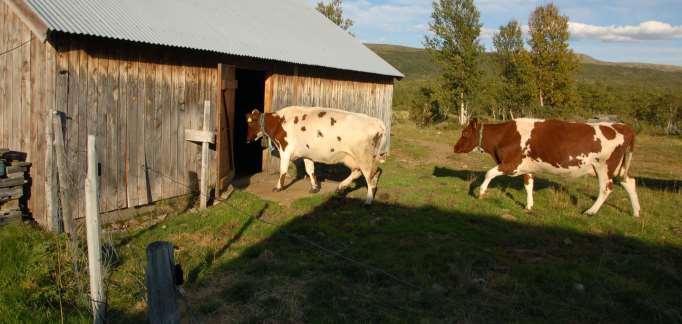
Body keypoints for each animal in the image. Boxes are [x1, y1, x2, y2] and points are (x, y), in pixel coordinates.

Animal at [244, 105, 386, 205]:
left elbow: (283, 170)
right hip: (350, 157)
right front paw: (314, 188)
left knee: (370, 174)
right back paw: (340, 187)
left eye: (250, 123)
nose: (247, 139)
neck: (279, 122)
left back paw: (368, 200)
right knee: (361, 171)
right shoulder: (307, 154)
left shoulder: (285, 149)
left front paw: (278, 187)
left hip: (363, 156)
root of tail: (377, 121)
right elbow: (310, 170)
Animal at [454, 117, 640, 216]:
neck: (505, 135)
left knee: (606, 188)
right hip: (618, 168)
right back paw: (636, 212)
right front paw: (529, 206)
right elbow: (528, 185)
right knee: (629, 182)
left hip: (604, 166)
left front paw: (481, 193)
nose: (455, 148)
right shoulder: (526, 167)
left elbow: (489, 173)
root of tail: (623, 126)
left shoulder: (511, 164)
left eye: (465, 133)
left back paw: (590, 211)